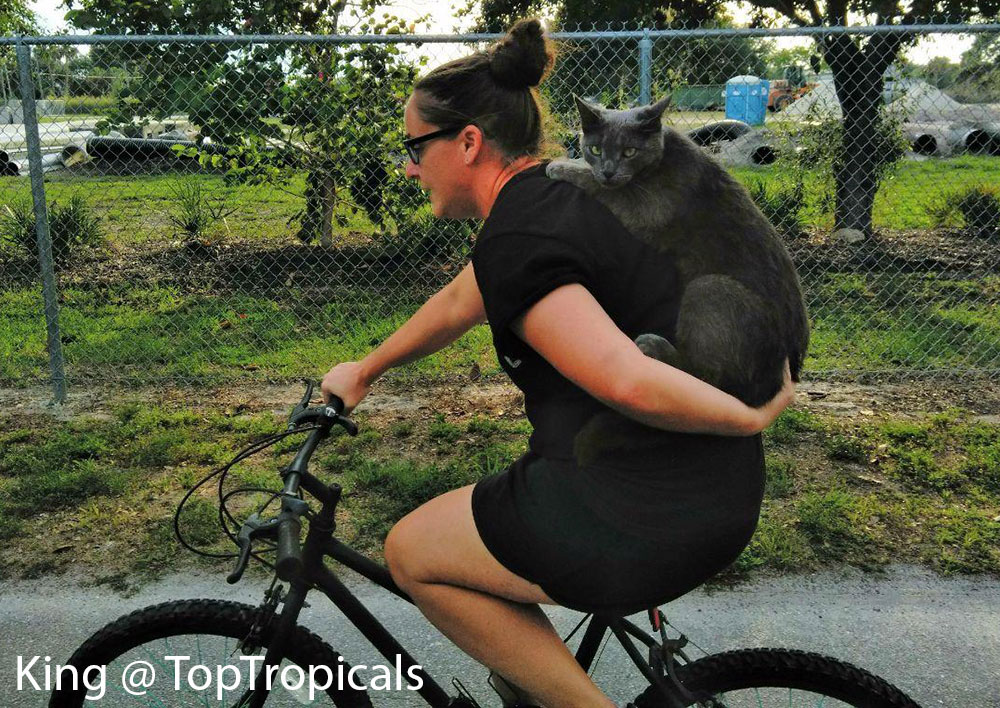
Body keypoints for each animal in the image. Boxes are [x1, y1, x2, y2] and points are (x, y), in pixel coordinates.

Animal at [548, 95, 812, 460]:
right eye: (597, 149)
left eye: (629, 151)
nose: (608, 171)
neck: (656, 165)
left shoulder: (642, 207)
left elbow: (601, 188)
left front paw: (558, 165)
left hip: (709, 288)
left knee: (714, 382)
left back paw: (655, 347)